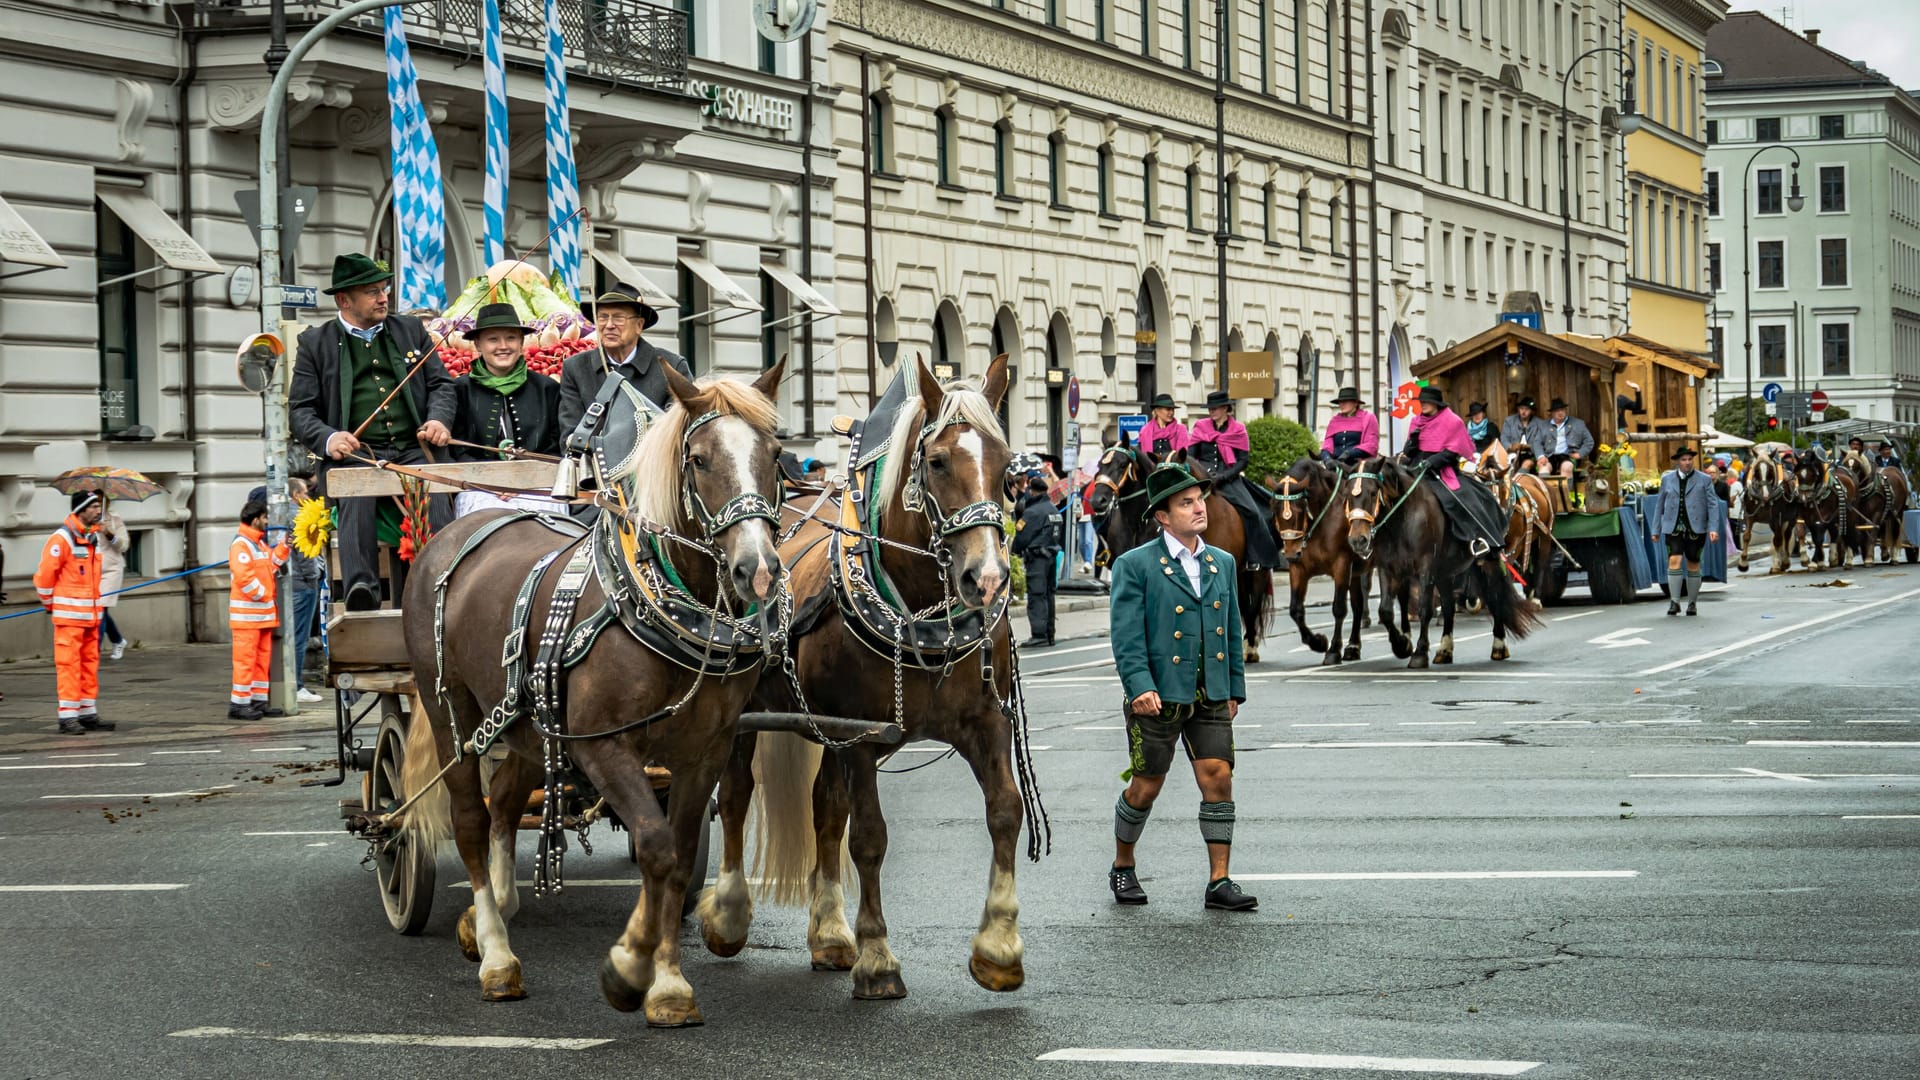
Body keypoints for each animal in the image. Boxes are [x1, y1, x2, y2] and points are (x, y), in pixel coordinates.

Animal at [397, 363, 787, 1022]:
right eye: (700, 459)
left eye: (775, 454)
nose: (757, 570)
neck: (653, 604)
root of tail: (457, 531)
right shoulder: (601, 746)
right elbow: (655, 843)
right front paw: (630, 967)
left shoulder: (703, 751)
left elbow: (680, 854)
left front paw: (667, 982)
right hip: (451, 710)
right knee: (472, 818)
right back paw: (496, 953)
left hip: (526, 721)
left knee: (506, 800)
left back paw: (493, 909)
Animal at [702, 357, 1036, 999]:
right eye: (937, 462)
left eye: (1008, 465)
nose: (987, 579)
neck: (918, 612)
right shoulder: (857, 736)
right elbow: (870, 838)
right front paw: (878, 959)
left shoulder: (983, 723)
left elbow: (1004, 810)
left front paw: (999, 946)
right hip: (746, 719)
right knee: (735, 796)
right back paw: (728, 916)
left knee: (824, 808)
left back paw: (830, 933)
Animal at [1098, 440, 1274, 657]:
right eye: (1099, 465)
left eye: (1122, 464)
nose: (1097, 500)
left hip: (1257, 572)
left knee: (1252, 604)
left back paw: (1250, 646)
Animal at [1274, 455, 1367, 664]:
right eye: (1275, 511)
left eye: (1300, 510)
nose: (1290, 553)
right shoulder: (1298, 568)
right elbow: (1295, 610)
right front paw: (1317, 642)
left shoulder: (1342, 566)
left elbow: (1339, 608)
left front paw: (1332, 649)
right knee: (1358, 605)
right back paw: (1353, 646)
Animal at [1351, 461, 1543, 664]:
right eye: (1348, 494)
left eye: (1373, 493)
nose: (1358, 540)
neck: (1402, 518)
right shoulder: (1389, 568)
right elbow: (1385, 610)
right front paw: (1402, 646)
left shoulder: (1425, 568)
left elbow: (1425, 608)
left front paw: (1419, 652)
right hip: (1446, 571)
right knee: (1449, 605)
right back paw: (1444, 649)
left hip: (1488, 562)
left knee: (1494, 594)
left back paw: (1498, 645)